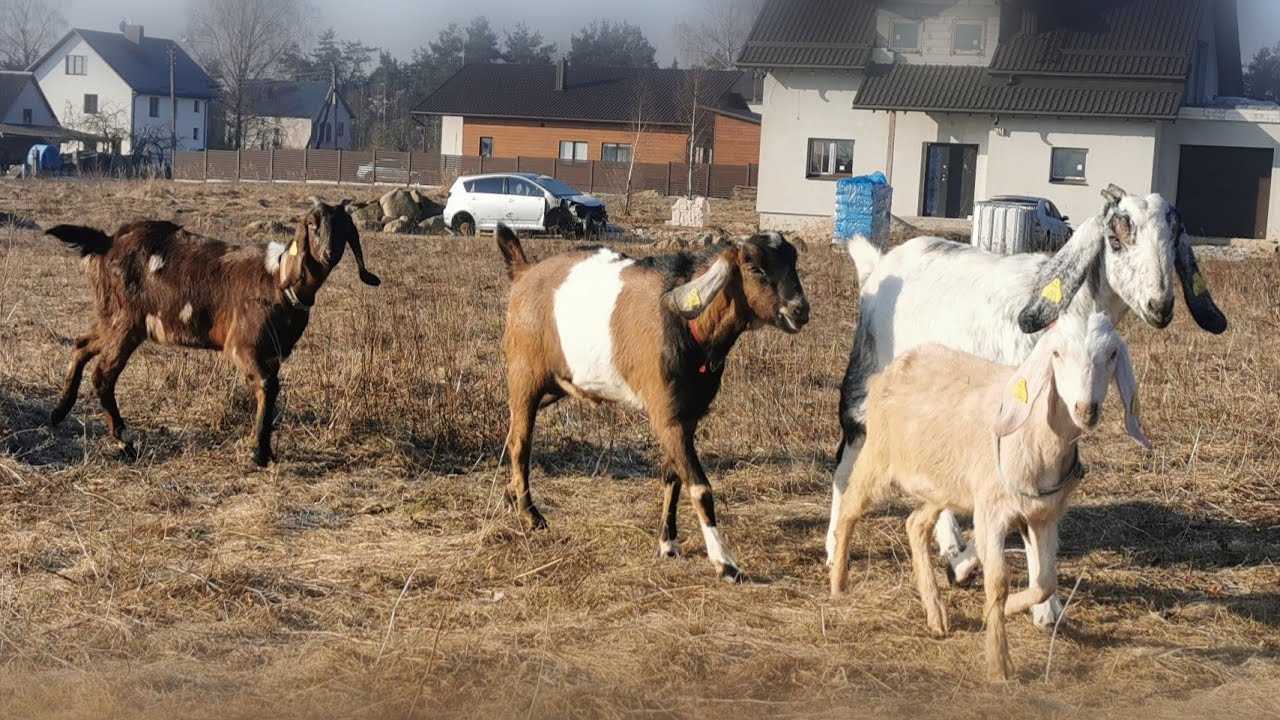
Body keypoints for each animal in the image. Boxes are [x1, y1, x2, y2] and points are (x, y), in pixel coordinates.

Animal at [45, 197, 380, 466]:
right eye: (312, 225)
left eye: (344, 229)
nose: (328, 253)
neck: (279, 280)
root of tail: (106, 242)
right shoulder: (242, 345)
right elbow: (268, 386)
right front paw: (258, 452)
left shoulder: (272, 353)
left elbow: (271, 390)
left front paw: (264, 449)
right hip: (126, 323)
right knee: (103, 374)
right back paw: (125, 444)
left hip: (113, 318)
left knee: (82, 344)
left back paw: (59, 411)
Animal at [495, 224, 809, 581]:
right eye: (755, 268)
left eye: (793, 262)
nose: (800, 311)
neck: (690, 326)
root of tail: (523, 274)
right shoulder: (667, 416)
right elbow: (699, 487)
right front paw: (725, 563)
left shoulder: (685, 417)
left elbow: (672, 477)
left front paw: (668, 544)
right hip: (524, 375)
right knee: (520, 443)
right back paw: (531, 515)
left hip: (558, 383)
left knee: (513, 433)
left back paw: (511, 494)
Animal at [826, 185, 1226, 626]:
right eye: (1116, 238)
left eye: (1173, 239)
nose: (1161, 306)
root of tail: (880, 264)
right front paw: (1041, 608)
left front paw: (1028, 595)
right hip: (866, 377)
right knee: (847, 455)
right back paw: (834, 548)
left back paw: (953, 550)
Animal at [830, 313, 1150, 682]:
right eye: (1056, 354)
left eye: (1112, 354)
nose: (1086, 410)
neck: (1035, 434)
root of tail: (892, 368)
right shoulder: (992, 512)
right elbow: (998, 581)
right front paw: (999, 664)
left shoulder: (1043, 515)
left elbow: (1045, 582)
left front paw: (1004, 611)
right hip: (879, 457)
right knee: (850, 506)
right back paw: (838, 581)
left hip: (947, 483)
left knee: (914, 523)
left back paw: (936, 614)